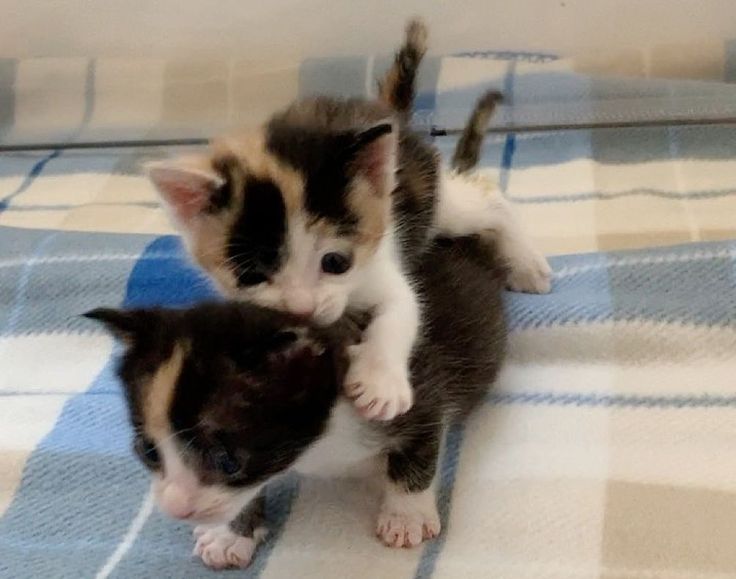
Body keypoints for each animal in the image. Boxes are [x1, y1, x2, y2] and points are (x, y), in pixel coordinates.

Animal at [87, 234, 506, 572]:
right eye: (148, 452)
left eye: (227, 460)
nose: (176, 508)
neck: (323, 441)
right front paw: (231, 534)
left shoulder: (417, 388)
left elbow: (418, 449)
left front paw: (405, 516)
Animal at [144, 19, 548, 426]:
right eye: (251, 276)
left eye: (336, 263)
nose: (302, 308)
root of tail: (384, 110)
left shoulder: (380, 259)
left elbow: (402, 309)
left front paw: (380, 384)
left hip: (437, 205)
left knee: (486, 201)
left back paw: (527, 264)